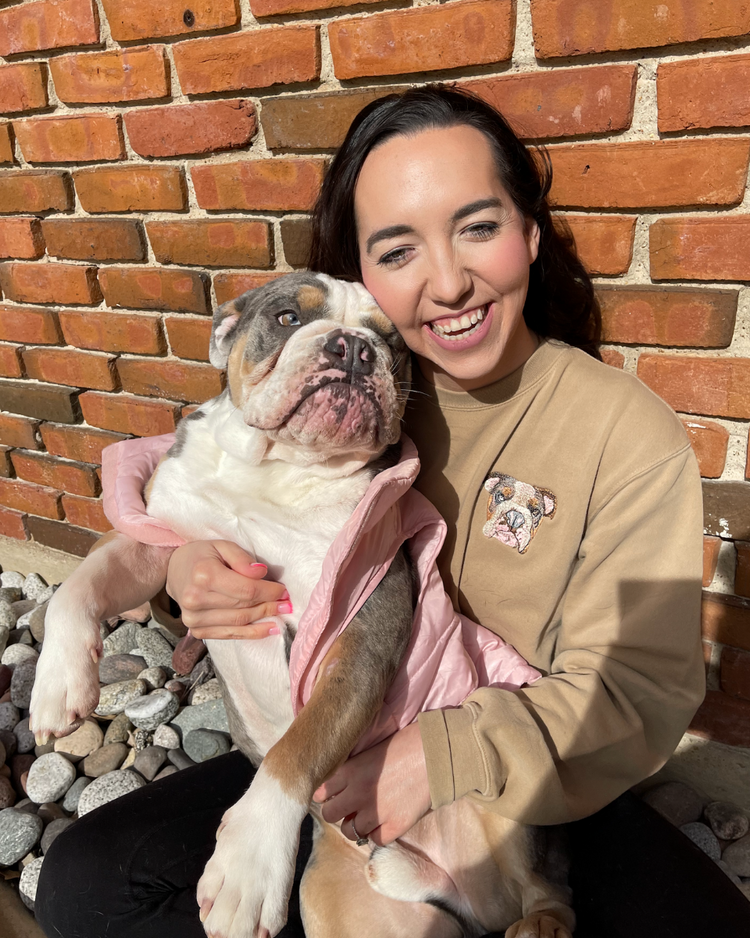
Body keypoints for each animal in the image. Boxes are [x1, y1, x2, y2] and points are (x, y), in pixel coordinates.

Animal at [26, 270, 572, 936]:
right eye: (288, 317)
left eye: (392, 344)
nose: (354, 348)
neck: (276, 466)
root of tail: (469, 891)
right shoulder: (156, 537)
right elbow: (78, 585)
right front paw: (58, 688)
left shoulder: (355, 634)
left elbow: (298, 747)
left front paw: (249, 866)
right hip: (347, 904)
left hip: (514, 809)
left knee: (547, 888)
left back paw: (539, 921)